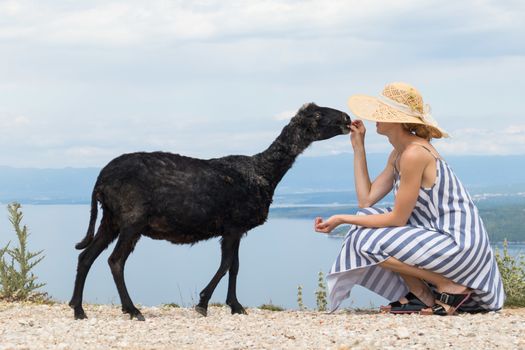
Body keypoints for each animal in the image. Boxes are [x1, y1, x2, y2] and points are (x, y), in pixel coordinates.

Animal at [68, 102, 348, 320]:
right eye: (318, 115)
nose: (346, 118)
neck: (263, 173)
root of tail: (100, 181)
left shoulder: (236, 229)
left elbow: (235, 266)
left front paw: (235, 306)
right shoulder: (233, 226)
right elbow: (225, 265)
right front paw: (203, 303)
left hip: (111, 219)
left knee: (86, 257)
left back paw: (78, 309)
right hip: (131, 219)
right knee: (115, 261)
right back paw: (132, 310)